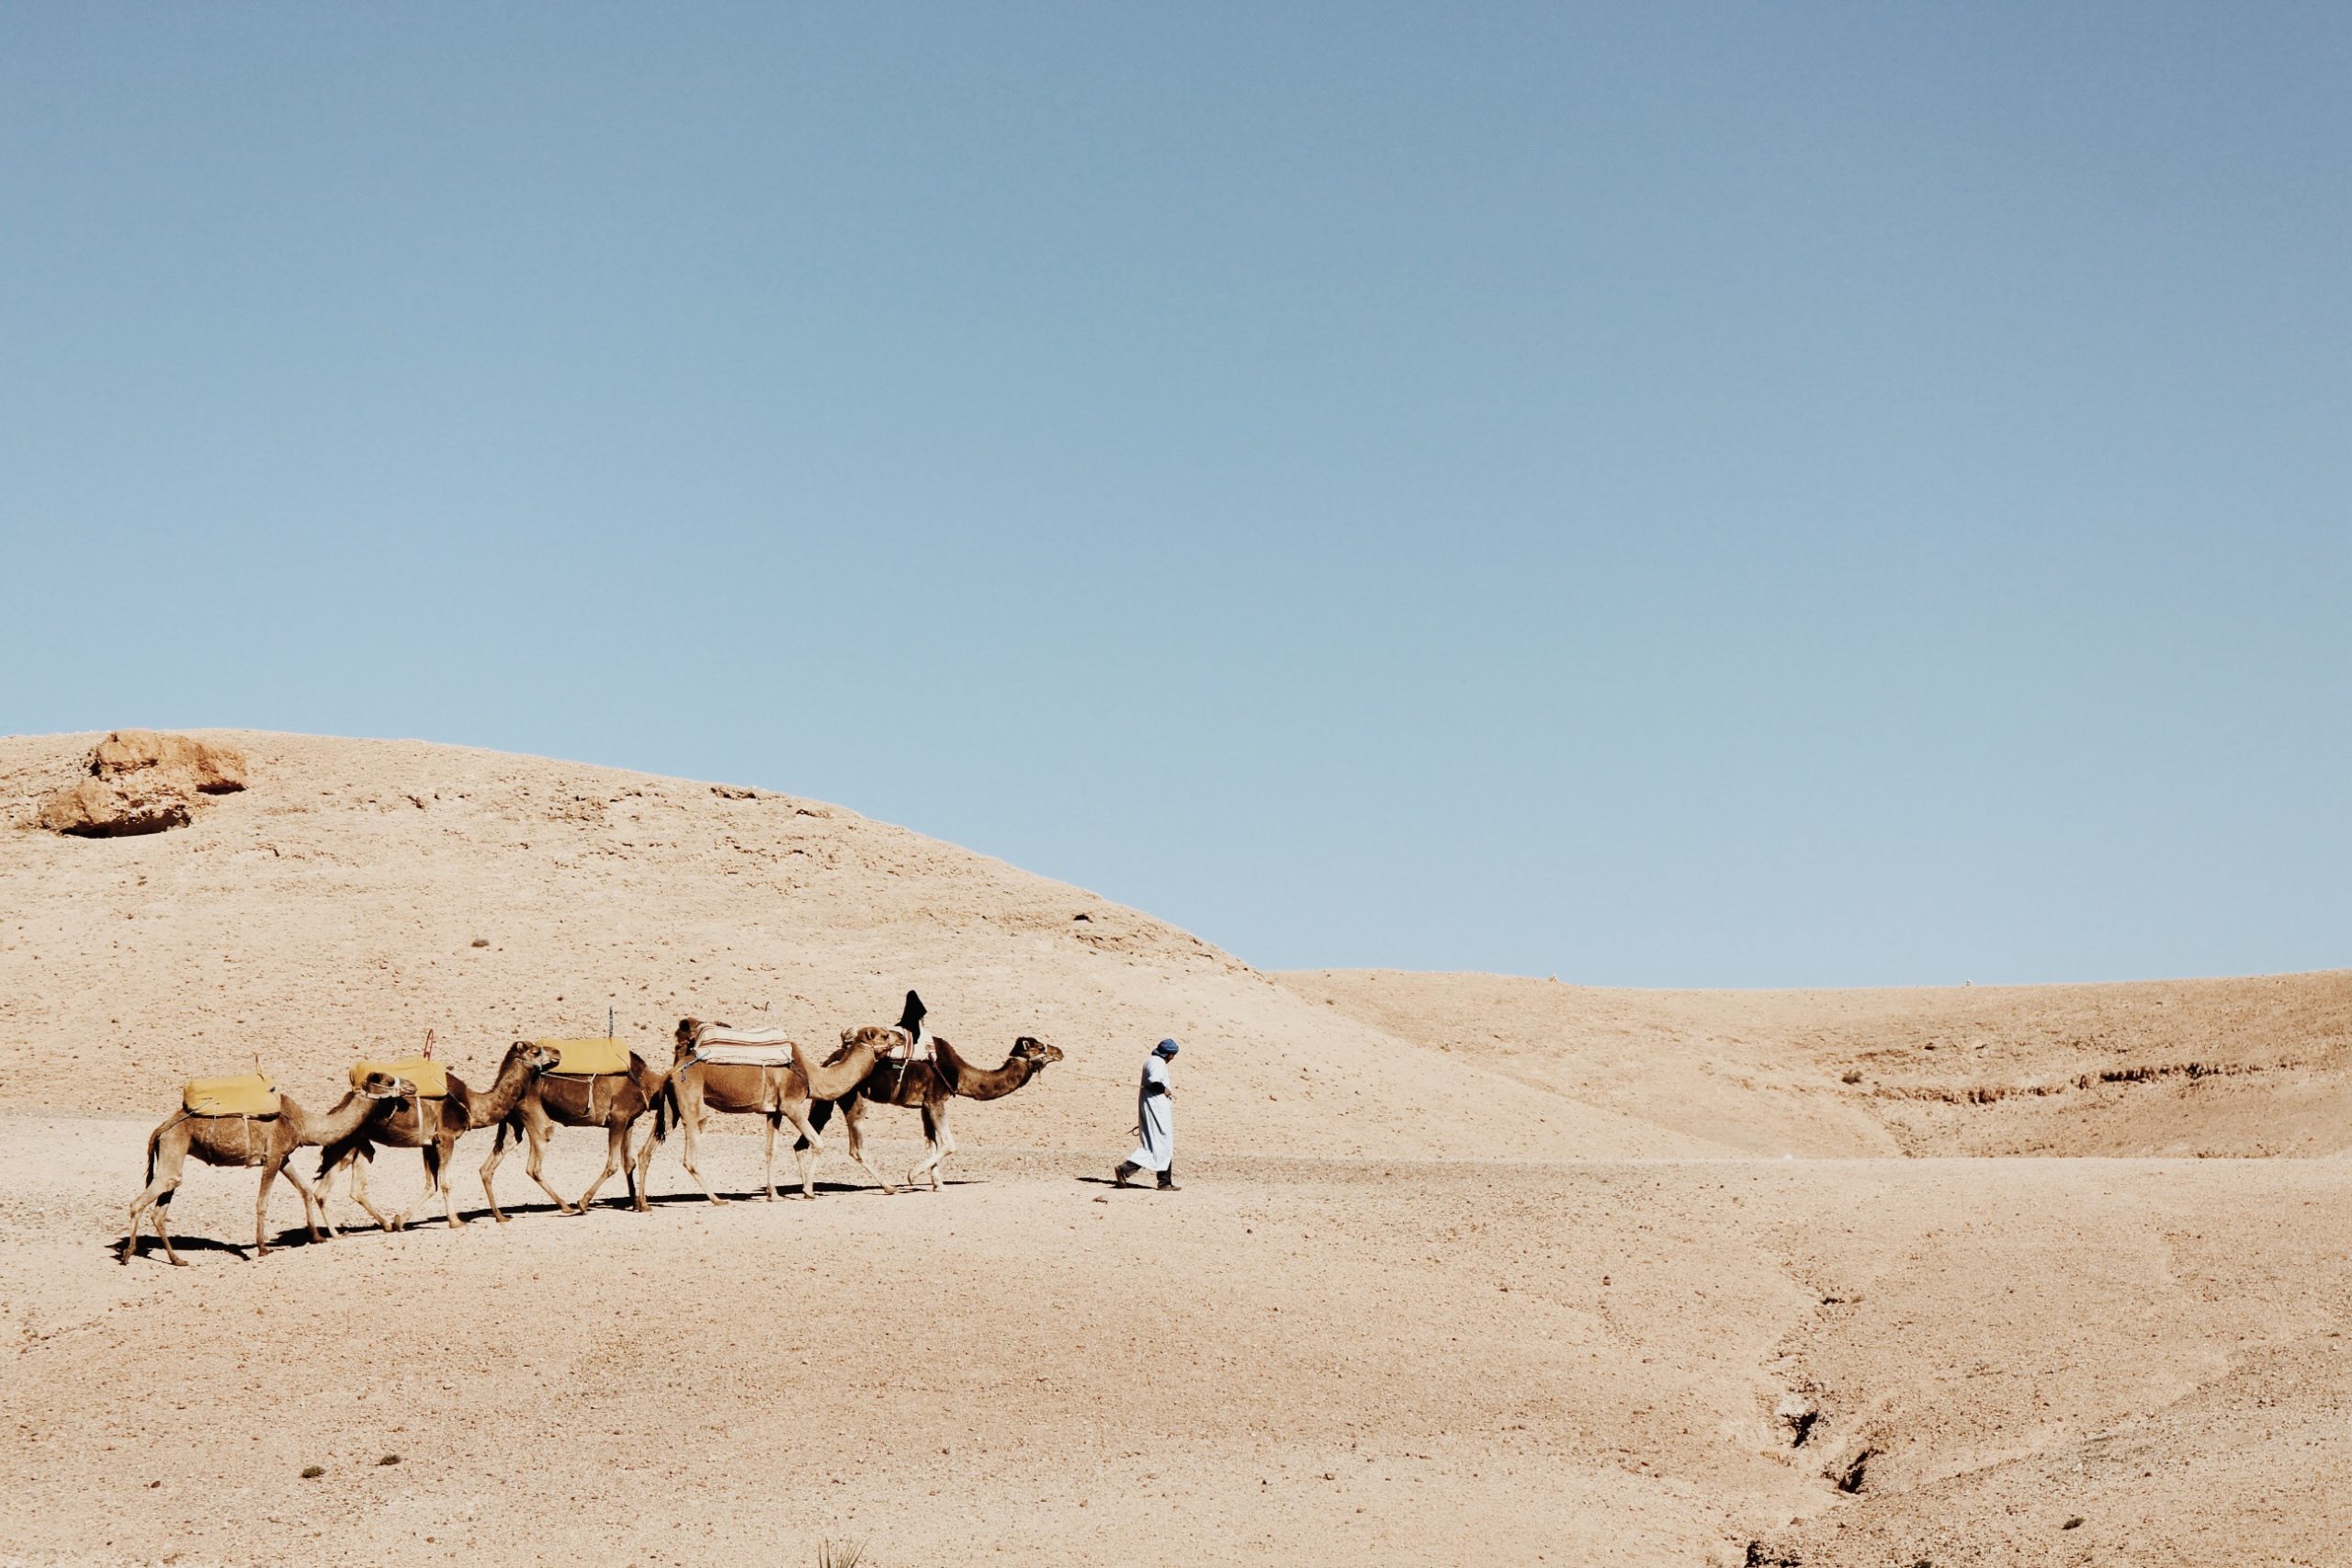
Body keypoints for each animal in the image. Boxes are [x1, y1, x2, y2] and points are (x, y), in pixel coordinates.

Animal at [121, 1072, 416, 1269]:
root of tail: (162, 1127)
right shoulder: (272, 1157)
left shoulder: (284, 1157)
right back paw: (128, 1254)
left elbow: (304, 1189)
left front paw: (318, 1236)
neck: (303, 1123)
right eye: (388, 1079)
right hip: (174, 1147)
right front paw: (263, 1248)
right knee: (139, 1202)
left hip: (173, 1154)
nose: (412, 1086)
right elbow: (262, 1202)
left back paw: (177, 1259)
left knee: (161, 1207)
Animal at [315, 1043, 566, 1241]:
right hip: (348, 1141)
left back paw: (382, 1225)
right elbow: (445, 1182)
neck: (471, 1106)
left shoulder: (429, 1143)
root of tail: (338, 1107)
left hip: (358, 1145)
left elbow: (431, 1185)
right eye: (536, 1051)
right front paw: (455, 1221)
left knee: (348, 1189)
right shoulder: (447, 1137)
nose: (557, 1052)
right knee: (331, 1189)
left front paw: (399, 1220)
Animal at [475, 1048, 668, 1222]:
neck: (644, 1083)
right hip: (533, 1114)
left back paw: (499, 1215)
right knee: (534, 1164)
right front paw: (583, 1203)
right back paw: (566, 1206)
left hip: (513, 1120)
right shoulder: (618, 1118)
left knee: (489, 1166)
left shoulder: (628, 1121)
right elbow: (612, 1165)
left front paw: (638, 1204)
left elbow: (628, 1162)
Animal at [649, 1020, 903, 1203]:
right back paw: (717, 1199)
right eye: (883, 1034)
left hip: (672, 1109)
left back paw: (643, 1203)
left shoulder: (775, 1111)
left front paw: (774, 1194)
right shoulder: (791, 1105)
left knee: (648, 1148)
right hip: (691, 1105)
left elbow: (771, 1150)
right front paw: (809, 1191)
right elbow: (818, 1142)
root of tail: (672, 1071)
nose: (901, 1036)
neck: (812, 1075)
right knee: (689, 1154)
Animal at [808, 1034, 1068, 1194]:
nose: (1060, 1052)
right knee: (856, 1147)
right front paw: (913, 1176)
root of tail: (831, 1060)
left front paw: (938, 1185)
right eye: (1040, 1047)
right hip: (853, 1097)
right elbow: (949, 1144)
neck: (961, 1074)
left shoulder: (925, 1105)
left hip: (830, 1099)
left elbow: (932, 1143)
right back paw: (889, 1187)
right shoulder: (936, 1100)